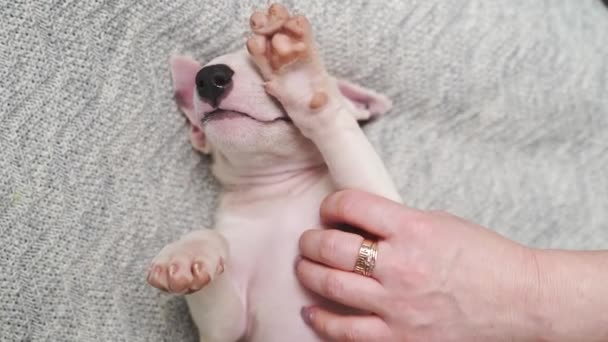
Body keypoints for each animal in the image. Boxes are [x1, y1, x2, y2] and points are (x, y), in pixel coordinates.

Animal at [148, 3, 404, 342]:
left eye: (261, 68)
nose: (208, 78)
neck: (278, 189)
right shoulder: (226, 329)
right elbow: (218, 291)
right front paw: (186, 254)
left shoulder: (379, 215)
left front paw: (300, 81)